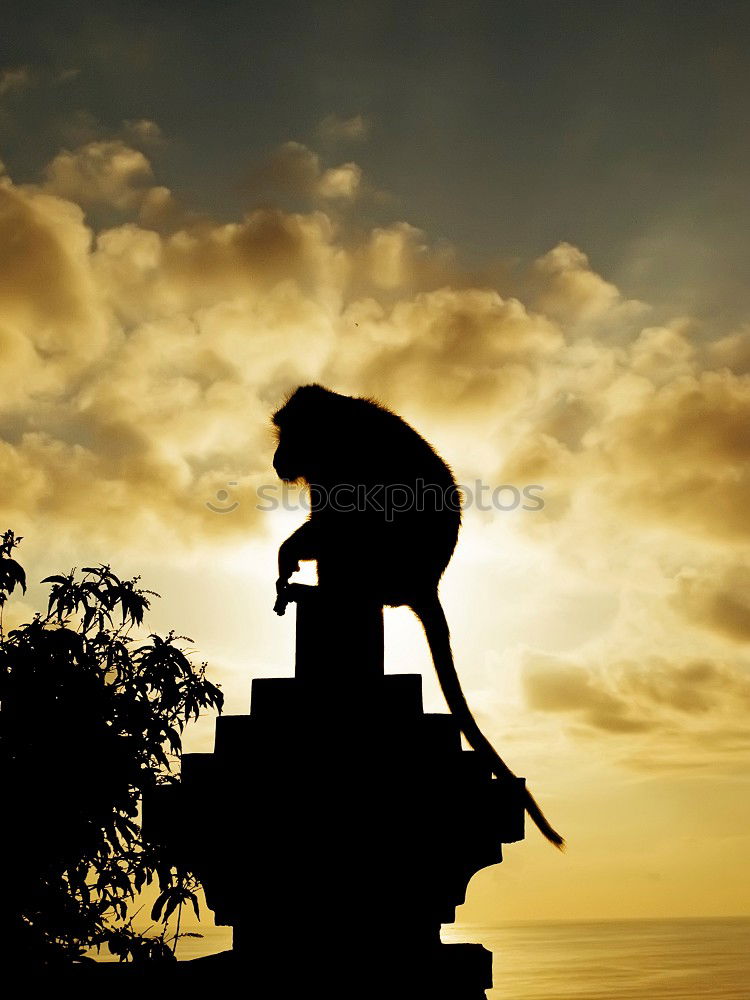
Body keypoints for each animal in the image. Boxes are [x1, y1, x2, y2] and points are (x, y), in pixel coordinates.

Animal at [270, 386, 564, 848]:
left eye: (289, 434)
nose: (276, 457)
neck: (335, 426)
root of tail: (424, 583)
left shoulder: (347, 461)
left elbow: (342, 516)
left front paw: (288, 556)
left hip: (382, 566)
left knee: (353, 531)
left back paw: (326, 591)